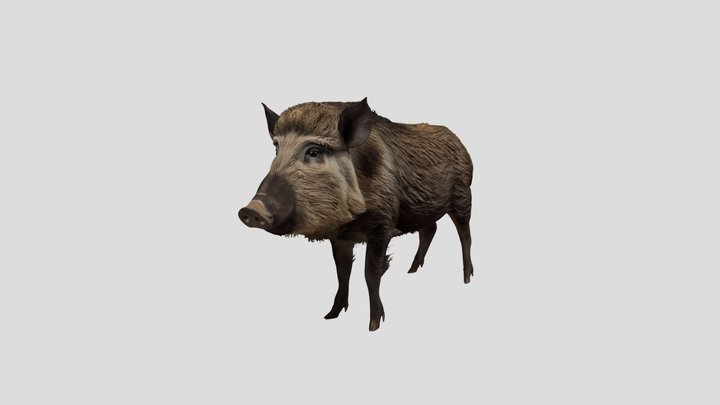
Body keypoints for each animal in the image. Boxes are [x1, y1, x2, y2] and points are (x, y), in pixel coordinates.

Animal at [238, 98, 473, 331]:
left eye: (314, 152)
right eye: (276, 150)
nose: (250, 210)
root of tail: (460, 143)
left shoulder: (382, 226)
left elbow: (371, 274)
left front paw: (373, 325)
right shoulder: (340, 237)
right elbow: (342, 272)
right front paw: (330, 316)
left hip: (463, 196)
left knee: (465, 236)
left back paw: (467, 278)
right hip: (423, 208)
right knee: (430, 229)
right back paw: (411, 271)